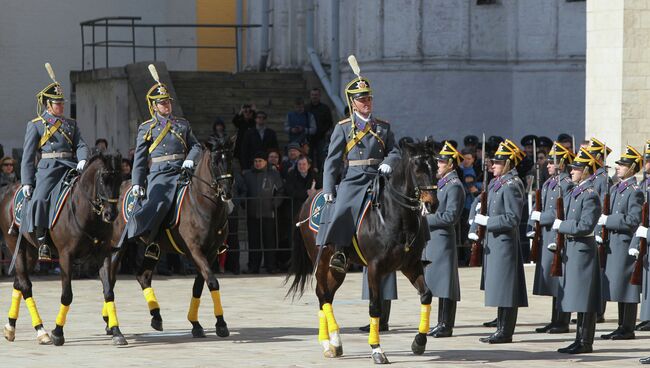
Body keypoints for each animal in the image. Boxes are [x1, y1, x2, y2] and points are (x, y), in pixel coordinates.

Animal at [0, 152, 124, 344]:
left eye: (120, 179)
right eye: (103, 180)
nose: (110, 214)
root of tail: (9, 190)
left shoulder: (103, 254)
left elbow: (109, 291)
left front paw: (117, 331)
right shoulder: (66, 256)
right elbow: (67, 295)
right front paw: (58, 332)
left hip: (31, 252)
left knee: (18, 282)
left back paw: (11, 327)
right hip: (15, 246)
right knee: (26, 286)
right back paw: (40, 330)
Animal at [107, 138, 235, 340]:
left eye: (230, 159)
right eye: (215, 162)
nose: (227, 192)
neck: (202, 203)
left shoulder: (211, 252)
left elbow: (199, 285)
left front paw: (196, 324)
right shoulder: (194, 251)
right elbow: (212, 281)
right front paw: (221, 324)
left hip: (151, 247)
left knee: (142, 276)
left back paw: (155, 316)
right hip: (117, 246)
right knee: (108, 276)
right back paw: (113, 327)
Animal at [286, 140, 438, 366]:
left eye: (435, 167)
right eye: (418, 169)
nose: (432, 204)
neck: (395, 217)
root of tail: (310, 198)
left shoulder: (411, 266)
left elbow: (426, 295)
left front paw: (419, 342)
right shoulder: (375, 268)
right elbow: (375, 307)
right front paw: (376, 349)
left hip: (338, 270)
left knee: (327, 296)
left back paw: (334, 343)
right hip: (320, 261)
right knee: (322, 295)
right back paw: (328, 343)